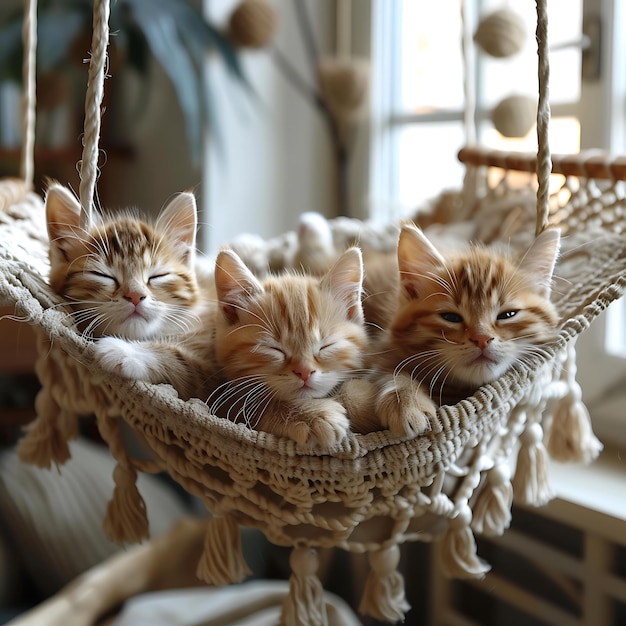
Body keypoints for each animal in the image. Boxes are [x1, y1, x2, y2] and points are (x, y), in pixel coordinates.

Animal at [92, 246, 366, 450]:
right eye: (273, 349)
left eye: (326, 346)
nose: (305, 372)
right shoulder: (213, 388)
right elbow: (246, 399)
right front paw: (313, 415)